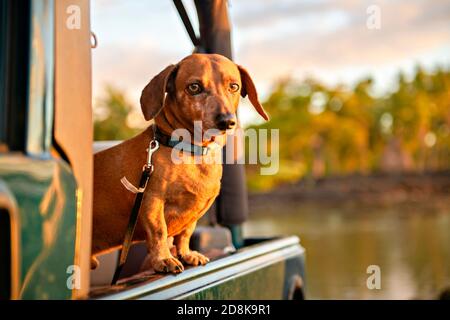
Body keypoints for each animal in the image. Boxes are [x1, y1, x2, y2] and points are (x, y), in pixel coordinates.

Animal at [91, 53, 268, 274]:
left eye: (234, 86)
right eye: (194, 87)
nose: (227, 121)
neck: (191, 152)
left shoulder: (194, 214)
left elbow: (185, 234)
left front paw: (186, 254)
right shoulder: (152, 200)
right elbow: (158, 231)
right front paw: (163, 259)